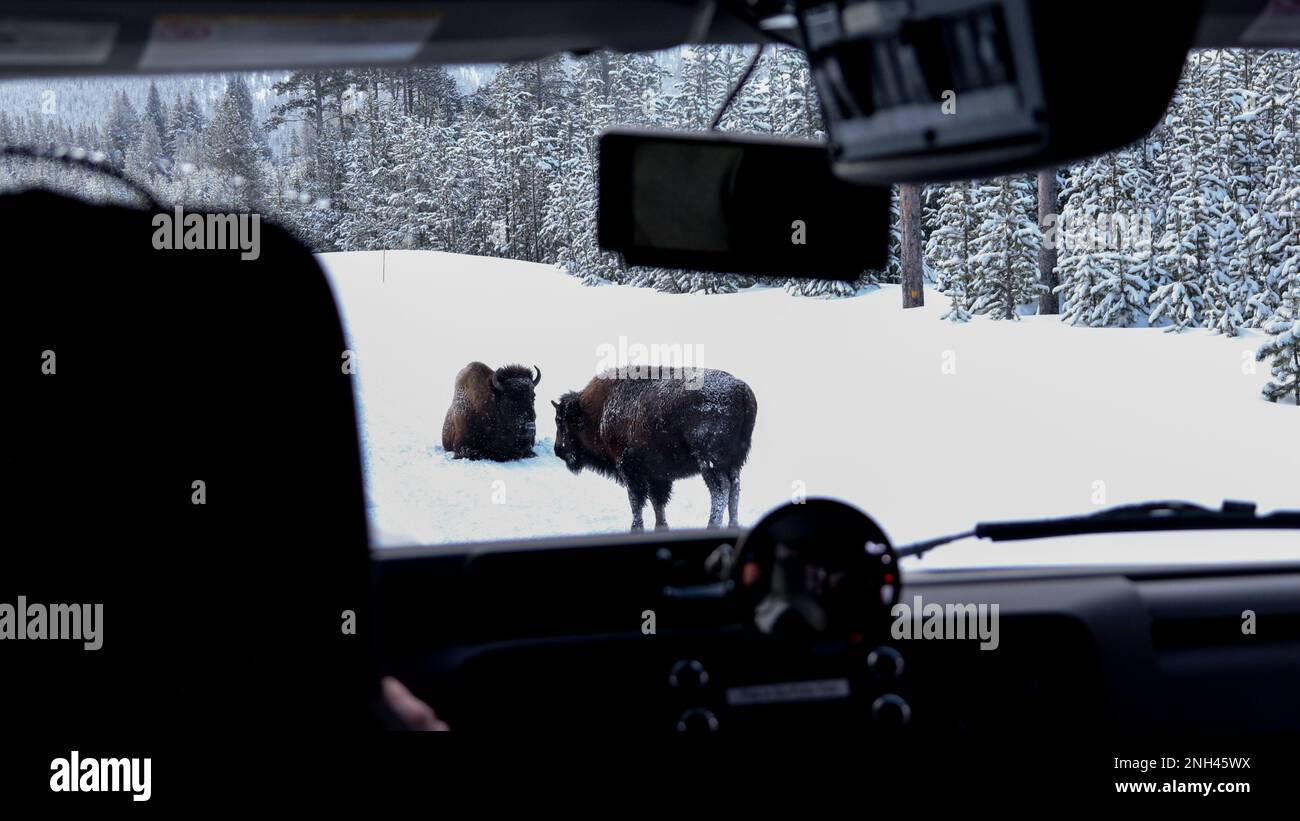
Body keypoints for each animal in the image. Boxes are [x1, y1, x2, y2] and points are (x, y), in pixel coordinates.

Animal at [552, 368, 757, 531]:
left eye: (561, 421)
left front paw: (636, 528)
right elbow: (657, 501)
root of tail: (742, 391)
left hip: (710, 463)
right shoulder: (656, 475)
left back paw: (712, 526)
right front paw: (661, 527)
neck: (600, 410)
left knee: (720, 490)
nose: (558, 450)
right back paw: (733, 525)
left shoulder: (630, 470)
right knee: (735, 488)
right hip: (734, 462)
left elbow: (636, 501)